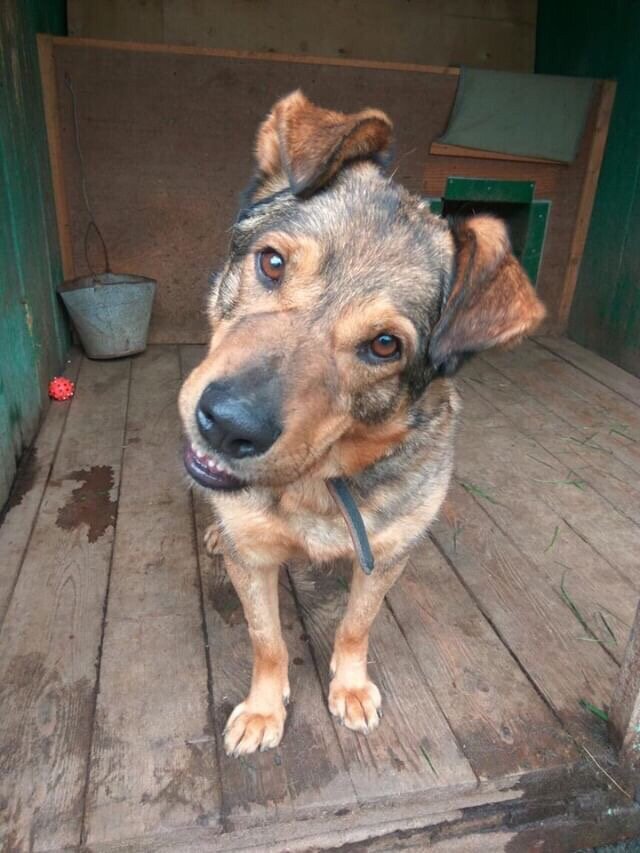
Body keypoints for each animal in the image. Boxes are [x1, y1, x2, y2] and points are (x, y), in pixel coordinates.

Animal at [180, 90, 544, 756]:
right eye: (272, 263)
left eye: (383, 345)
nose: (225, 425)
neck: (316, 480)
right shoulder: (256, 561)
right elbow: (267, 641)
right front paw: (264, 709)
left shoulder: (388, 556)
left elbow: (355, 627)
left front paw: (348, 687)